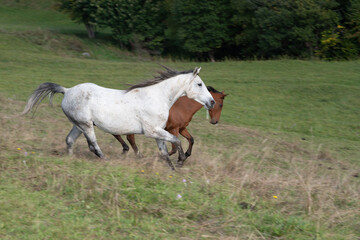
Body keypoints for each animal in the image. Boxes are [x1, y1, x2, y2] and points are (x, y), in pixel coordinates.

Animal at [21, 66, 214, 170]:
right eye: (199, 84)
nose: (211, 102)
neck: (157, 97)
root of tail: (67, 90)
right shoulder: (152, 131)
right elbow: (177, 141)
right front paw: (181, 160)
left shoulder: (158, 132)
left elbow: (165, 152)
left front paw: (174, 170)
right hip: (86, 125)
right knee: (93, 145)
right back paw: (106, 161)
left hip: (78, 125)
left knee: (69, 140)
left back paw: (70, 160)